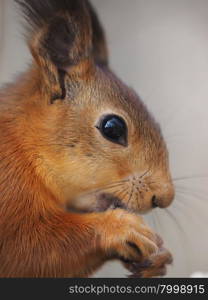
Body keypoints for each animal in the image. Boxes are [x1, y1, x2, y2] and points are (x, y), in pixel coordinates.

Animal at [0, 0, 175, 278]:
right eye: (113, 128)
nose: (165, 197)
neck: (23, 147)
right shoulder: (8, 191)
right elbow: (27, 250)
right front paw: (119, 228)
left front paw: (158, 258)